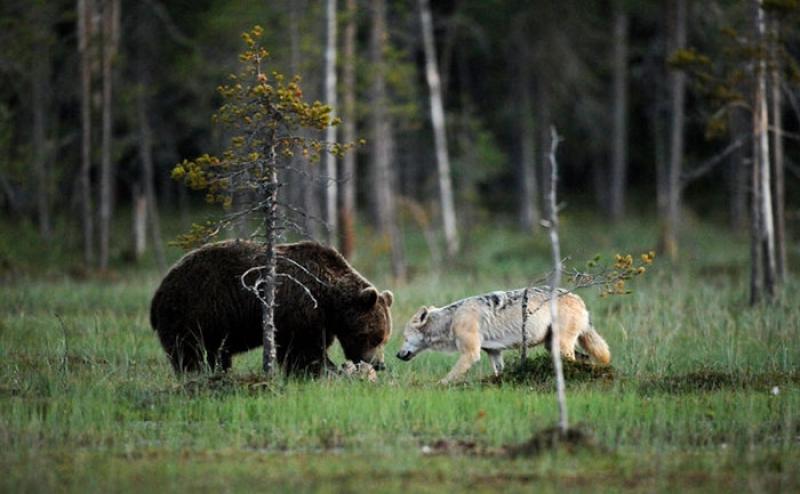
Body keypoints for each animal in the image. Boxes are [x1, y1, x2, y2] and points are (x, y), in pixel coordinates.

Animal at [150, 239, 394, 374]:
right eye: (374, 336)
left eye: (384, 338)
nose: (378, 364)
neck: (329, 300)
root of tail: (158, 292)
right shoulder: (300, 308)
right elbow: (303, 350)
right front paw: (323, 370)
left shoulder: (321, 319)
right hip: (194, 309)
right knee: (189, 352)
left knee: (216, 354)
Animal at [396, 288, 612, 384]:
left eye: (405, 337)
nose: (397, 354)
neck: (452, 319)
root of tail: (578, 298)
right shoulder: (494, 352)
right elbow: (498, 372)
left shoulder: (470, 354)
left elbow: (449, 377)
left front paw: (438, 386)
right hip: (553, 346)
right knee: (585, 358)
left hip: (560, 345)